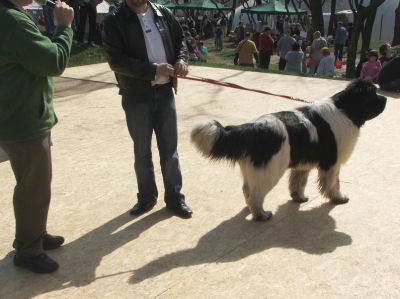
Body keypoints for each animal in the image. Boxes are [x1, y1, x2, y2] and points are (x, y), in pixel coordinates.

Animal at [192, 81, 386, 221]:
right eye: (373, 94)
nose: (385, 98)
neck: (345, 109)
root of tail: (254, 127)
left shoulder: (303, 164)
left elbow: (298, 182)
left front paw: (298, 197)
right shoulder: (332, 163)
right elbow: (334, 183)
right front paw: (338, 198)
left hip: (253, 169)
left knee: (247, 189)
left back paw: (252, 210)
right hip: (269, 171)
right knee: (256, 195)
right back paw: (261, 215)